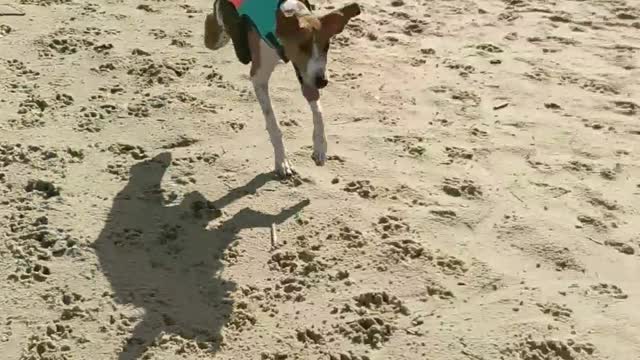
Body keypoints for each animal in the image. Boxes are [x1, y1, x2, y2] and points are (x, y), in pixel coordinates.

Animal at [205, 0, 360, 177]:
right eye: (302, 46)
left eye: (326, 46)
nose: (323, 82)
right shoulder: (259, 77)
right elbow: (273, 124)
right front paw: (282, 161)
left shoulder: (306, 77)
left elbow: (319, 113)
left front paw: (320, 146)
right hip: (220, 38)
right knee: (212, 22)